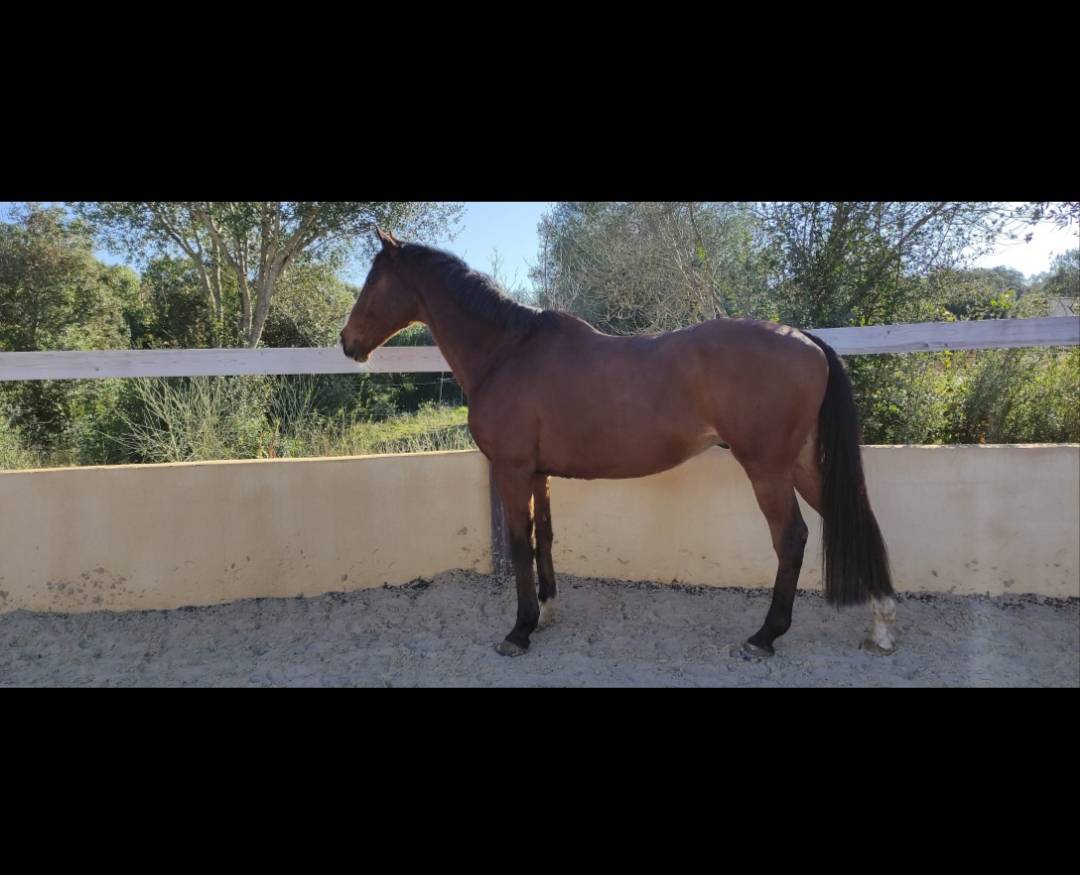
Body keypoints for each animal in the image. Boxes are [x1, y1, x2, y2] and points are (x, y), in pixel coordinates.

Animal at [341, 228, 898, 659]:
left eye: (373, 280)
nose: (347, 343)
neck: (507, 352)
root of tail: (805, 339)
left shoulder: (511, 470)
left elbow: (520, 543)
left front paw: (519, 631)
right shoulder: (538, 473)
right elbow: (545, 537)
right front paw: (547, 612)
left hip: (767, 468)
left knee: (792, 539)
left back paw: (764, 637)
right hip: (799, 464)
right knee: (856, 518)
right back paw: (881, 625)